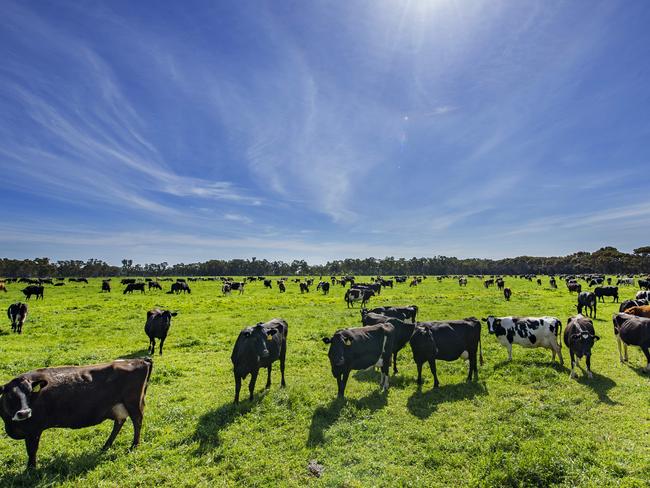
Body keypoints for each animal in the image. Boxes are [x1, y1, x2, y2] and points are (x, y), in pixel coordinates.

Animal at [0, 358, 153, 468]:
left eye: (30, 393)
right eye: (10, 395)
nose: (24, 413)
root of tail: (140, 360)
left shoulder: (34, 430)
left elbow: (32, 450)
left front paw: (30, 469)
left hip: (133, 403)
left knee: (137, 421)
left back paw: (134, 445)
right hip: (119, 407)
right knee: (119, 422)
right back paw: (106, 446)